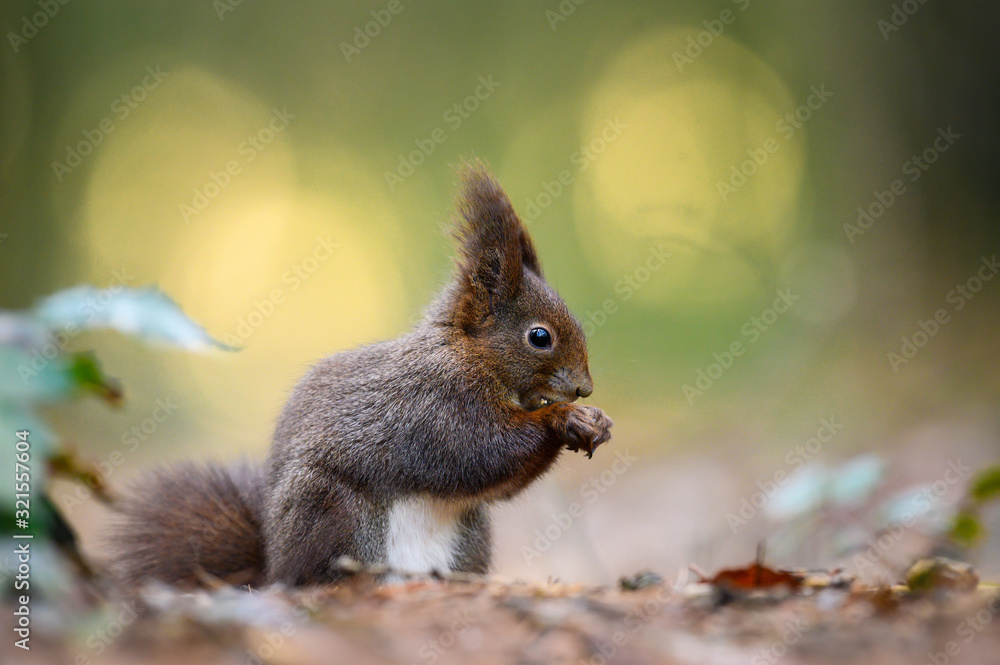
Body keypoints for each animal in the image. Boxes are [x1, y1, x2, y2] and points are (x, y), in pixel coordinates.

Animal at [105, 163, 613, 589]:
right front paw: (565, 418)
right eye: (539, 336)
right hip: (333, 508)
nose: (584, 388)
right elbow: (480, 449)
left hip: (471, 534)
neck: (469, 356)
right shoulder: (433, 405)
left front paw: (594, 420)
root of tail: (273, 567)